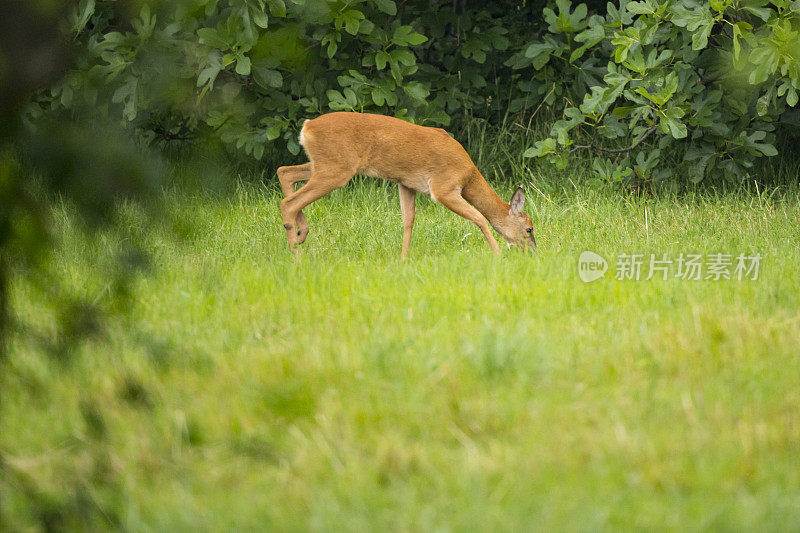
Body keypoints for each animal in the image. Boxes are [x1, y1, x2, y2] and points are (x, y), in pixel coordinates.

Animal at [276, 111, 536, 256]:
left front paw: (403, 259)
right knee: (289, 202)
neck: (469, 174)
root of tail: (307, 127)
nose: (533, 251)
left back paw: (301, 233)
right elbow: (479, 217)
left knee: (284, 172)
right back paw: (296, 256)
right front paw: (498, 254)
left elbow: (408, 220)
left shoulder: (406, 184)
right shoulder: (443, 187)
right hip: (336, 169)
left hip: (324, 164)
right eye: (529, 229)